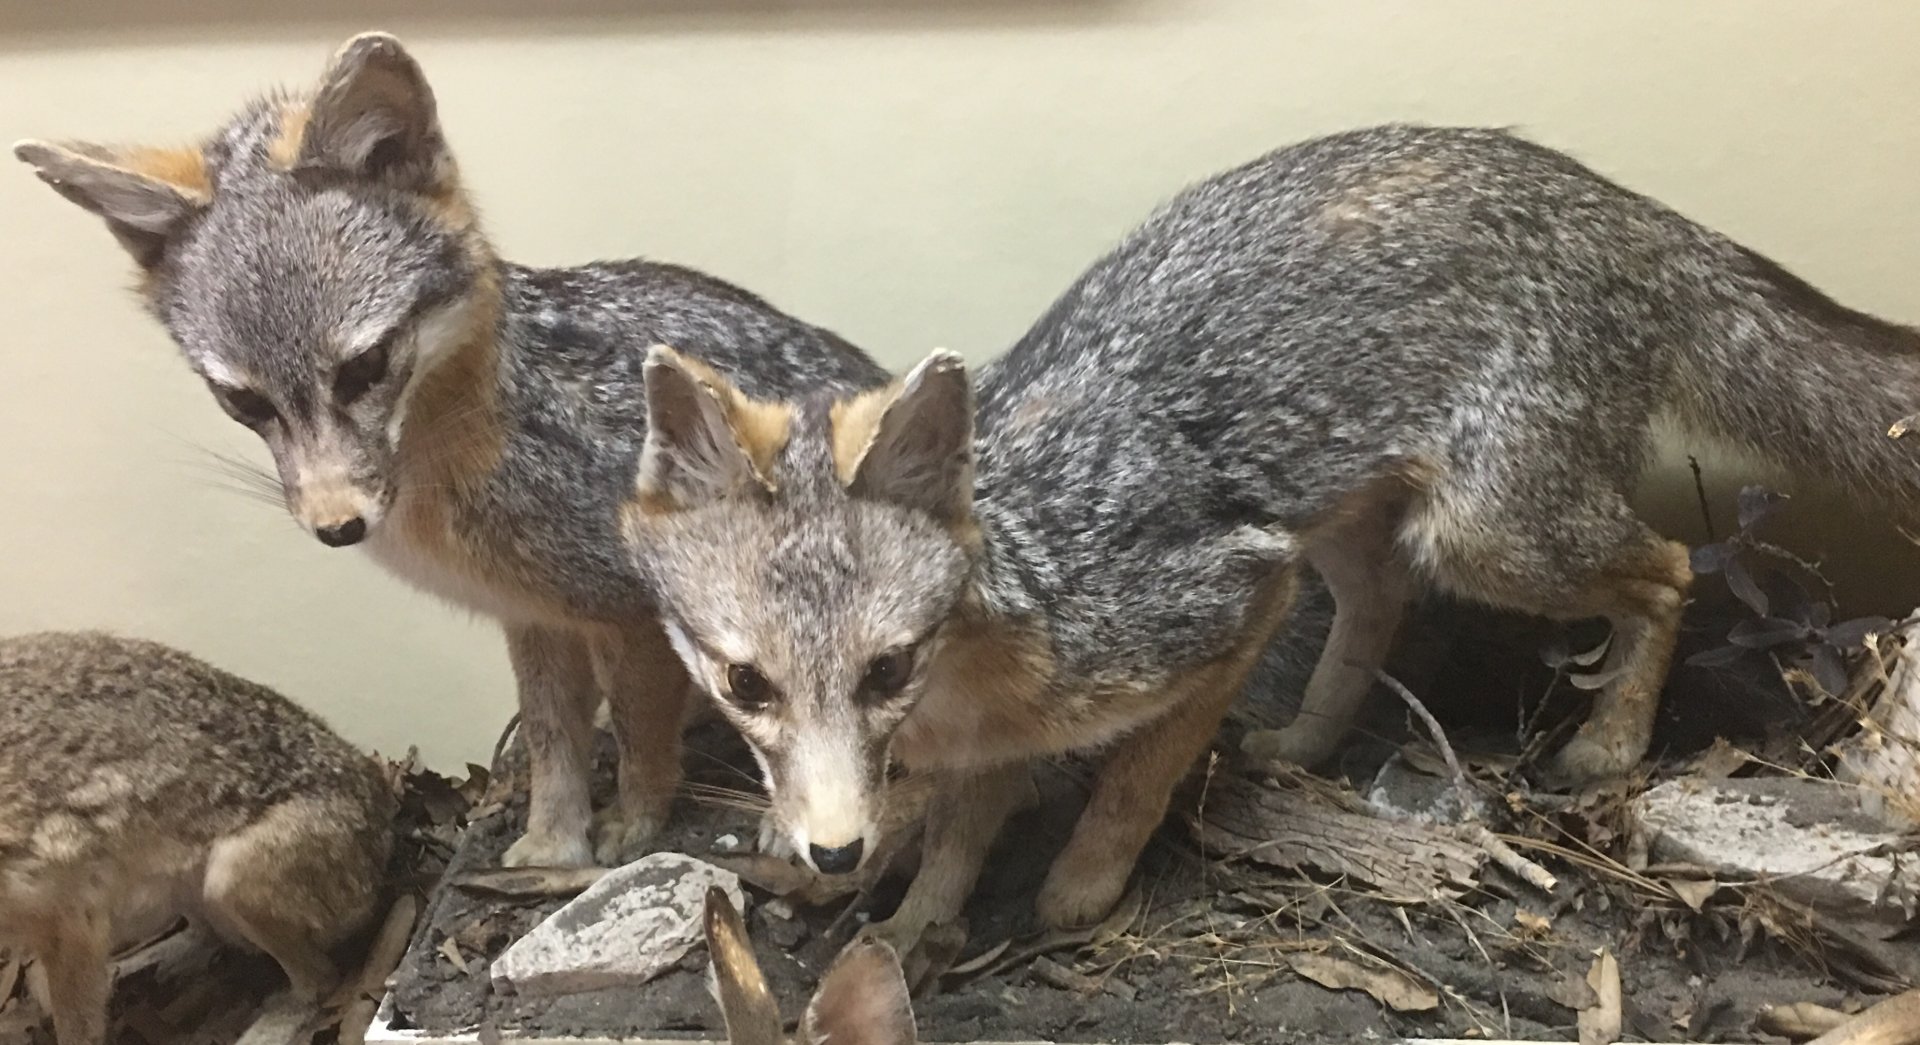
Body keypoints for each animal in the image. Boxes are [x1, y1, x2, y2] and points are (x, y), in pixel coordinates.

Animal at [0, 631, 395, 1045]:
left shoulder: (66, 918)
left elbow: (79, 1025)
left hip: (239, 880)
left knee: (318, 981)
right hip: (185, 892)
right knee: (203, 937)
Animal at [14, 33, 888, 870]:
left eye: (364, 366)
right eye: (243, 401)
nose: (337, 526)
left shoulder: (632, 617)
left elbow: (641, 737)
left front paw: (635, 824)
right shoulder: (536, 619)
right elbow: (554, 746)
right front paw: (552, 842)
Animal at [618, 124, 1920, 954]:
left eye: (887, 667)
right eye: (745, 684)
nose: (833, 855)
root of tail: (1629, 207)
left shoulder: (1225, 609)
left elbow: (1135, 778)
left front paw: (1081, 888)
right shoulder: (1005, 735)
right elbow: (955, 840)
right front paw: (912, 924)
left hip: (1487, 538)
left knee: (1666, 568)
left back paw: (1609, 743)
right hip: (1343, 519)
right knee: (1381, 597)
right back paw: (1306, 739)